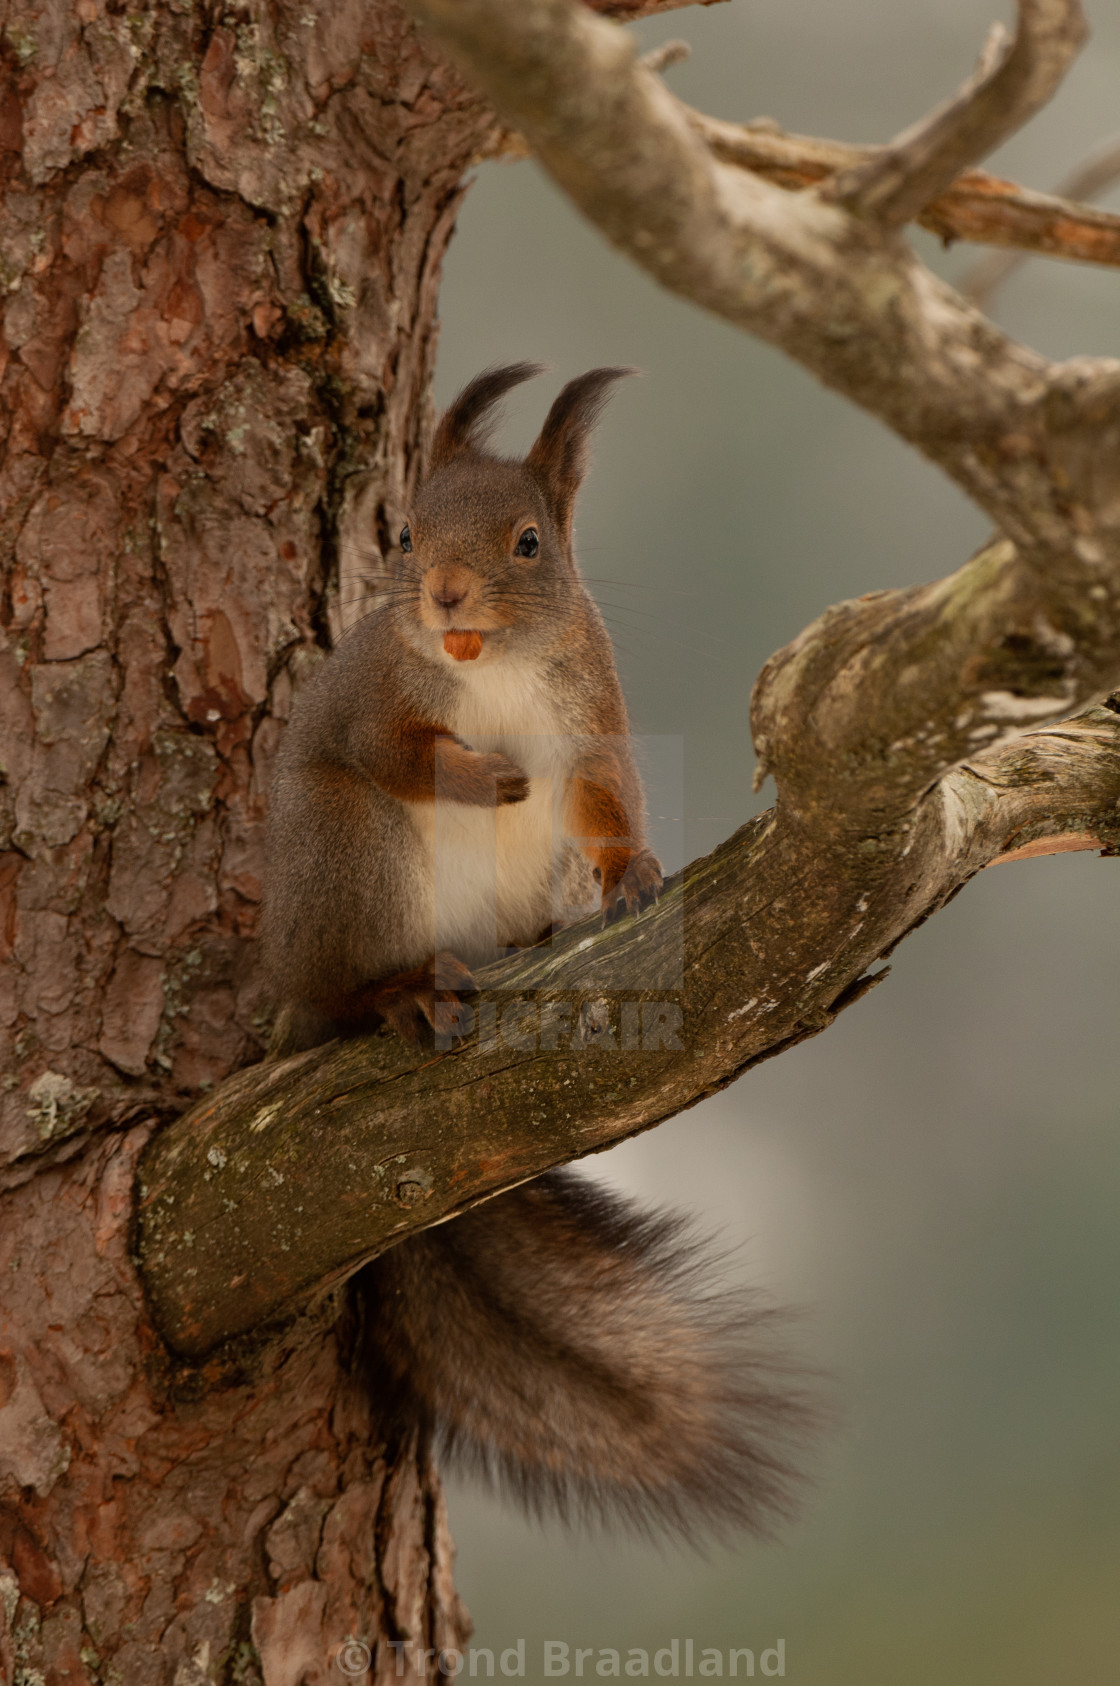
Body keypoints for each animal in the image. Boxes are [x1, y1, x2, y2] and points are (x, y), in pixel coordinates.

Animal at [259, 369, 809, 1544]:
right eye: (405, 532)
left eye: (529, 543)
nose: (445, 595)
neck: (490, 669)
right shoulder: (375, 702)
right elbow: (395, 752)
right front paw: (482, 777)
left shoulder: (589, 713)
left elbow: (605, 800)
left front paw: (634, 873)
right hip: (349, 856)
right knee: (350, 980)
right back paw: (404, 991)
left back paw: (538, 938)